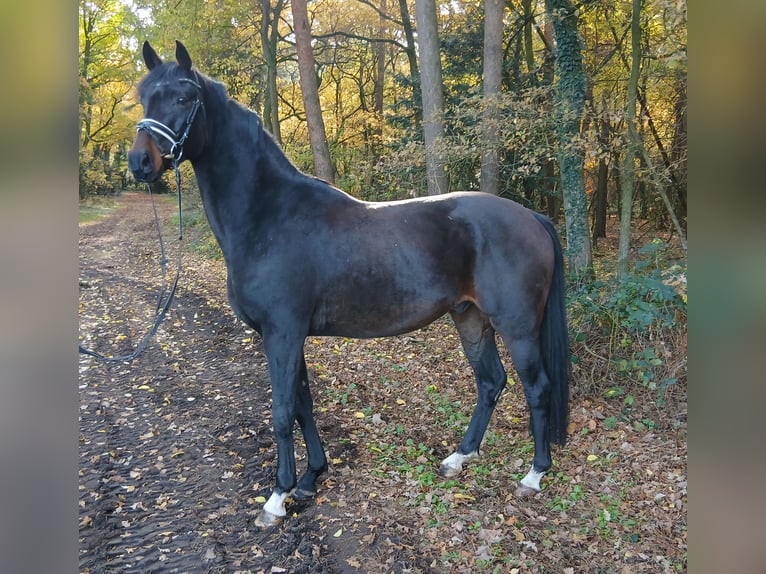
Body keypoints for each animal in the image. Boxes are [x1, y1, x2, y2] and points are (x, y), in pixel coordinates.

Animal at [128, 41, 570, 526]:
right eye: (144, 97)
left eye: (184, 97)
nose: (140, 162)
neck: (270, 216)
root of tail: (531, 216)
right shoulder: (287, 335)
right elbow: (303, 405)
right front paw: (309, 479)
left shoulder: (282, 334)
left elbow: (282, 411)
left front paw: (277, 498)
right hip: (469, 317)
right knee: (490, 382)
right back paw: (459, 457)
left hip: (517, 325)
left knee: (537, 387)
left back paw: (534, 475)